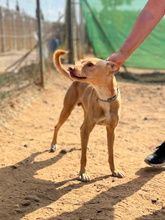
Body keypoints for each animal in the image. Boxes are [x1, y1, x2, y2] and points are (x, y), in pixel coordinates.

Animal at [50, 49, 124, 182]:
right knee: (57, 126)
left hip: (84, 116)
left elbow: (111, 154)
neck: (104, 97)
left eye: (90, 64)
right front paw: (82, 174)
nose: (70, 68)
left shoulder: (111, 130)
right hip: (67, 110)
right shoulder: (88, 128)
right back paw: (53, 145)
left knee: (80, 130)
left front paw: (114, 171)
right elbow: (83, 157)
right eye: (80, 62)